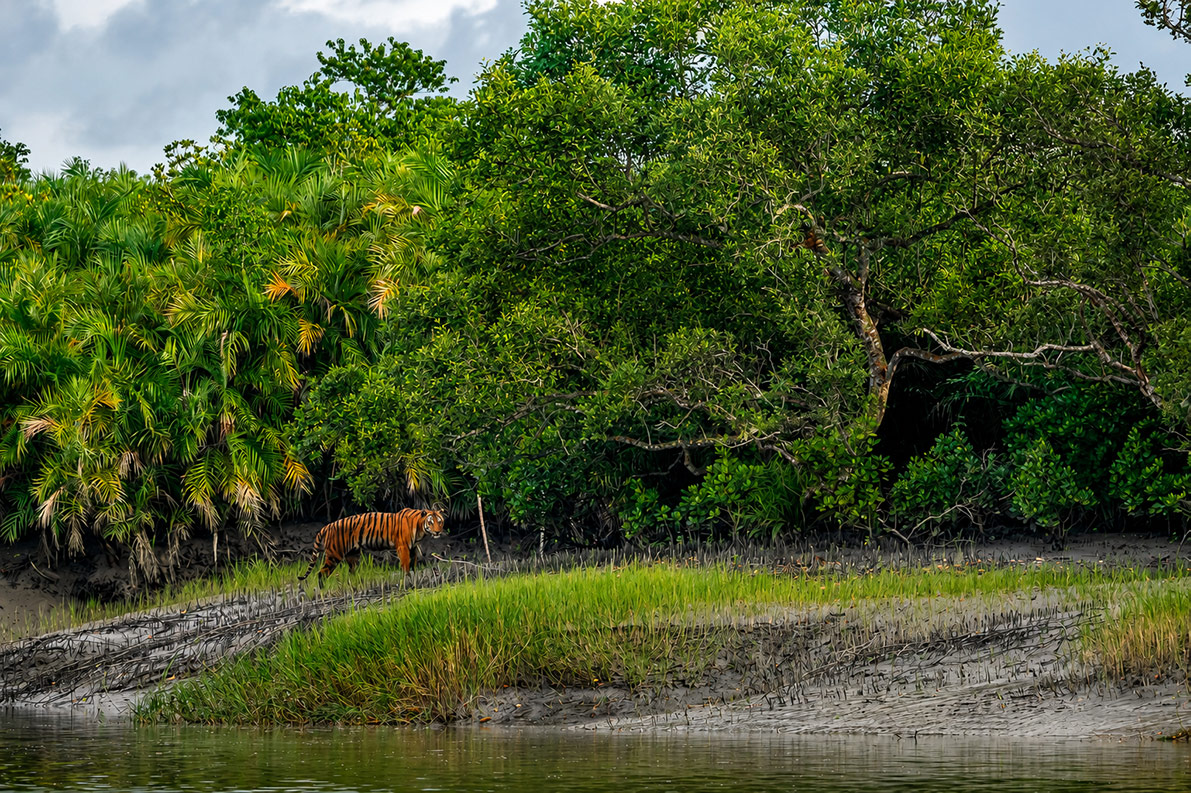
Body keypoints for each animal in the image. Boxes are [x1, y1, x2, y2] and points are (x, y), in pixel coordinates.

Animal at [298, 508, 446, 586]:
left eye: (440, 522)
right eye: (430, 523)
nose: (438, 532)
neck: (420, 528)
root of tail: (327, 526)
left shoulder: (413, 548)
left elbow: (414, 565)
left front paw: (415, 579)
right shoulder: (403, 547)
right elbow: (406, 566)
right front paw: (408, 581)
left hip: (353, 554)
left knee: (351, 572)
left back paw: (356, 585)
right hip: (335, 555)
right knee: (321, 573)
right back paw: (322, 591)